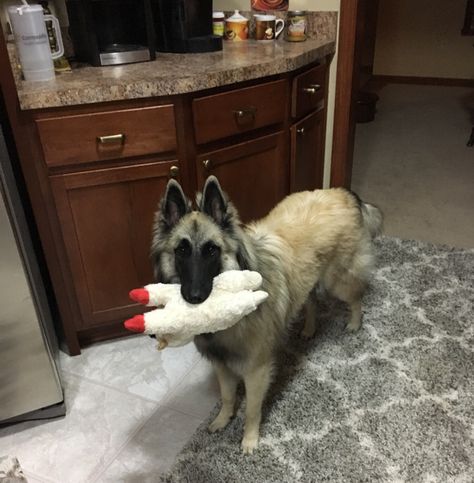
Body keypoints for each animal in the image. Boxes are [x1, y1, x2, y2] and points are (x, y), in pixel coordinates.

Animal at [150, 177, 384, 454]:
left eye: (211, 250)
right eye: (181, 250)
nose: (194, 297)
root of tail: (342, 193)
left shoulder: (256, 371)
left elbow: (251, 409)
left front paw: (250, 439)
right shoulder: (223, 365)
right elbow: (227, 397)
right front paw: (223, 419)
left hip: (337, 280)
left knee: (356, 296)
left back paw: (355, 323)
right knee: (312, 302)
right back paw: (309, 329)